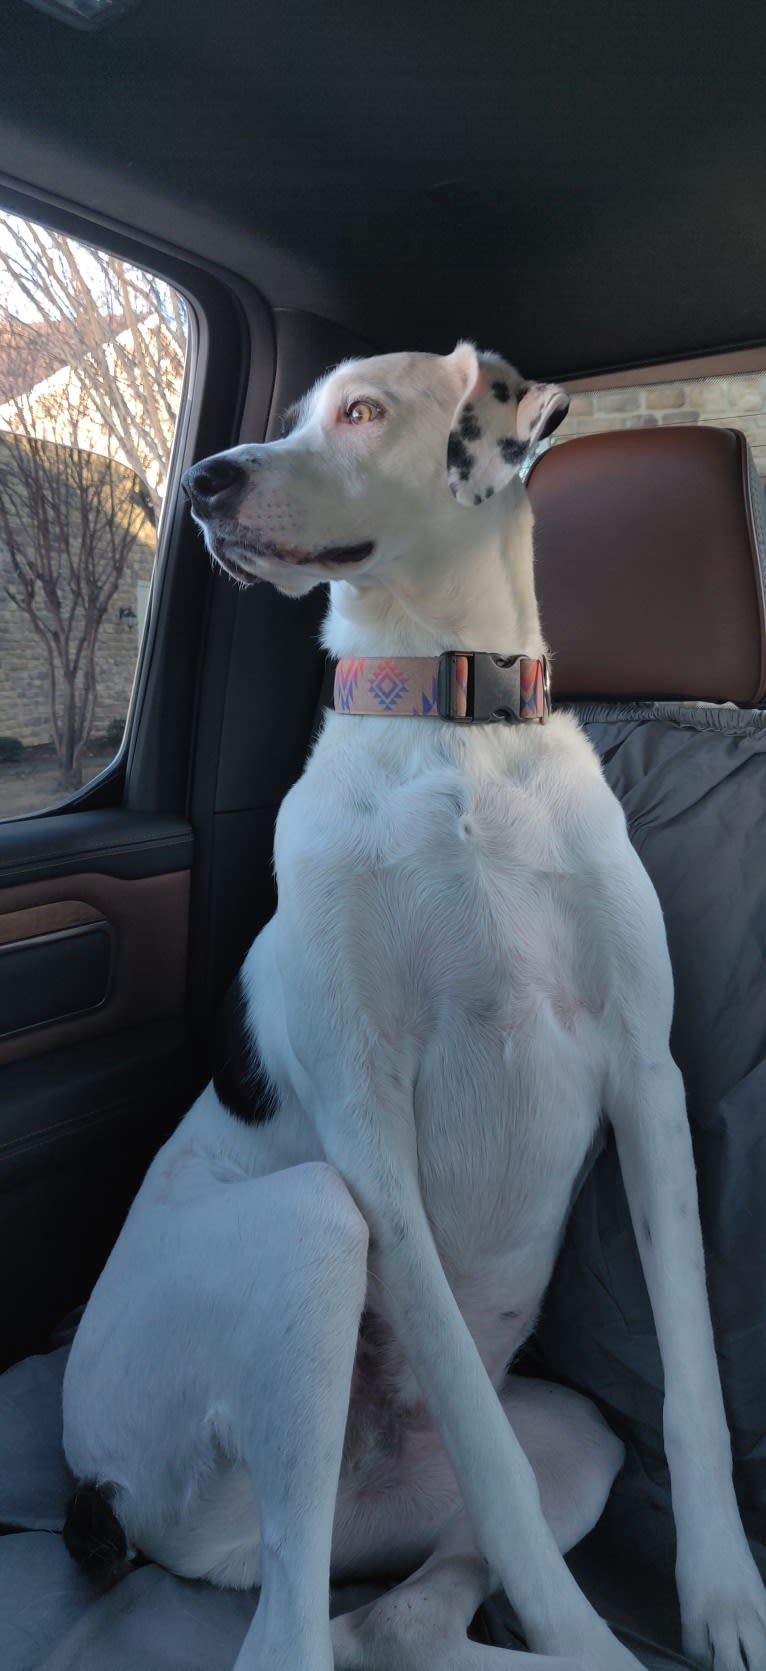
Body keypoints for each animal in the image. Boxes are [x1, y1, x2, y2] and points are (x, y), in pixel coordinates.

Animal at [61, 342, 766, 1671]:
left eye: (362, 411)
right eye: (293, 413)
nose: (204, 485)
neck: (450, 728)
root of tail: (98, 1493)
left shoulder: (647, 1081)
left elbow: (695, 1375)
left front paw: (722, 1593)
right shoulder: (370, 1132)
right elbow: (493, 1460)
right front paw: (588, 1619)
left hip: (572, 1444)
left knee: (398, 1618)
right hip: (310, 1234)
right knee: (285, 1639)